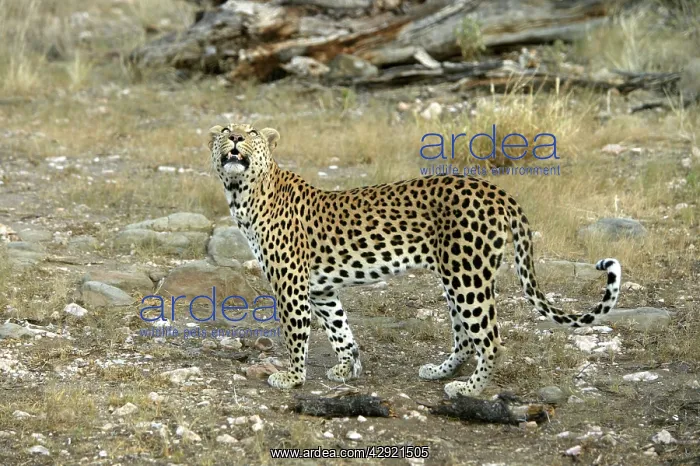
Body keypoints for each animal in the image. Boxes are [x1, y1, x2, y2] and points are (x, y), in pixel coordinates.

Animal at [207, 122, 622, 398]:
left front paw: (291, 378)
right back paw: (439, 371)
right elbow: (341, 330)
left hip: (468, 277)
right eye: (225, 128)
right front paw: (347, 368)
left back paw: (468, 388)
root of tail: (496, 190)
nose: (235, 138)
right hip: (457, 276)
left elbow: (296, 334)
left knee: (490, 339)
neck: (242, 194)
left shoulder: (291, 285)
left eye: (251, 131)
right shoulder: (320, 289)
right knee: (466, 337)